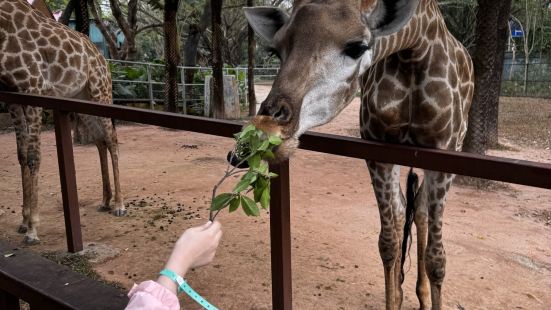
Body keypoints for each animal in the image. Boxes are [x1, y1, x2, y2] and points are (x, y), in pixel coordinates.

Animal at [0, 0, 125, 246]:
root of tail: (102, 58)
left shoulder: (33, 90)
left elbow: (33, 157)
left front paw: (32, 230)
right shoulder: (12, 99)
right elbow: (21, 156)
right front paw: (23, 221)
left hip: (101, 90)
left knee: (112, 139)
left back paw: (119, 205)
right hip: (81, 97)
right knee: (100, 140)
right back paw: (105, 200)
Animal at [246, 0, 474, 310]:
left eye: (357, 47)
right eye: (276, 50)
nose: (266, 131)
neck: (413, 49)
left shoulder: (444, 153)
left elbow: (437, 260)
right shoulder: (378, 150)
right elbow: (388, 243)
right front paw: (395, 298)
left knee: (420, 211)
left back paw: (423, 296)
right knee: (404, 211)